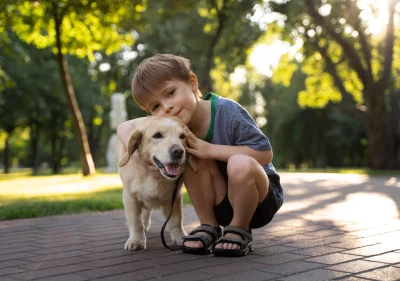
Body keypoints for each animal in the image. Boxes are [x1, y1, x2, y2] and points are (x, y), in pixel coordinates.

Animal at [117, 116, 197, 249]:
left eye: (182, 136)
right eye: (157, 135)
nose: (178, 151)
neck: (154, 177)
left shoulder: (175, 197)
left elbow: (176, 220)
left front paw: (179, 237)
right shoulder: (130, 197)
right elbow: (136, 222)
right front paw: (136, 240)